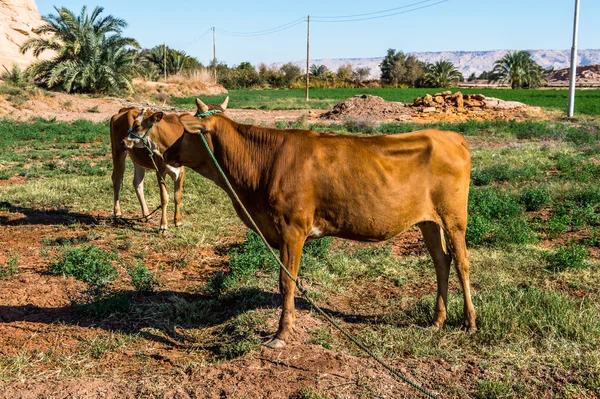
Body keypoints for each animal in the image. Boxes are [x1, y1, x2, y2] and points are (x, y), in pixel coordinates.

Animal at [109, 97, 229, 231]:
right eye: (136, 125)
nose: (124, 141)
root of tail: (124, 110)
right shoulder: (160, 171)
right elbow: (164, 197)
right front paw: (163, 225)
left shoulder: (181, 171)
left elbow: (177, 196)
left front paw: (178, 221)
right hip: (118, 152)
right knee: (116, 179)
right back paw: (117, 213)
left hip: (137, 159)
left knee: (137, 183)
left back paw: (147, 215)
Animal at [135, 100, 474, 350]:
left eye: (186, 132)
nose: (165, 152)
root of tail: (451, 136)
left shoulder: (291, 229)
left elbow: (286, 282)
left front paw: (281, 334)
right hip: (428, 221)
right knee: (441, 261)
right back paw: (437, 319)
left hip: (454, 218)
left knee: (461, 262)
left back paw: (469, 321)